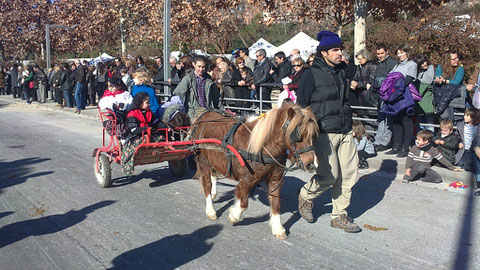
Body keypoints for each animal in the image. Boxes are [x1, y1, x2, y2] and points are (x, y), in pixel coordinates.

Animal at [190, 104, 318, 239]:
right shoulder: (246, 180)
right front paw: (233, 216)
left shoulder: (275, 180)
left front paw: (278, 228)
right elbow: (243, 203)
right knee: (207, 184)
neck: (264, 148)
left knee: (213, 175)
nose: (311, 164)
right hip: (204, 161)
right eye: (297, 135)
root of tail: (202, 116)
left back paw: (214, 194)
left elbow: (276, 203)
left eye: (314, 135)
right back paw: (211, 209)